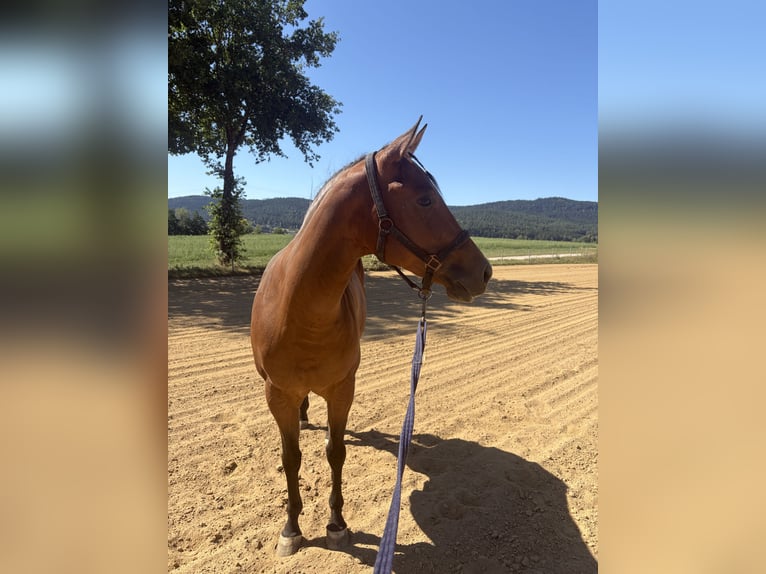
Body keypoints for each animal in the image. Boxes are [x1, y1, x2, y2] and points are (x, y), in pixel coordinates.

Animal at [250, 118, 492, 556]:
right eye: (425, 199)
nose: (484, 271)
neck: (300, 313)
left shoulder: (343, 389)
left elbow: (335, 452)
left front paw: (335, 523)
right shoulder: (277, 394)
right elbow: (291, 457)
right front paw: (291, 528)